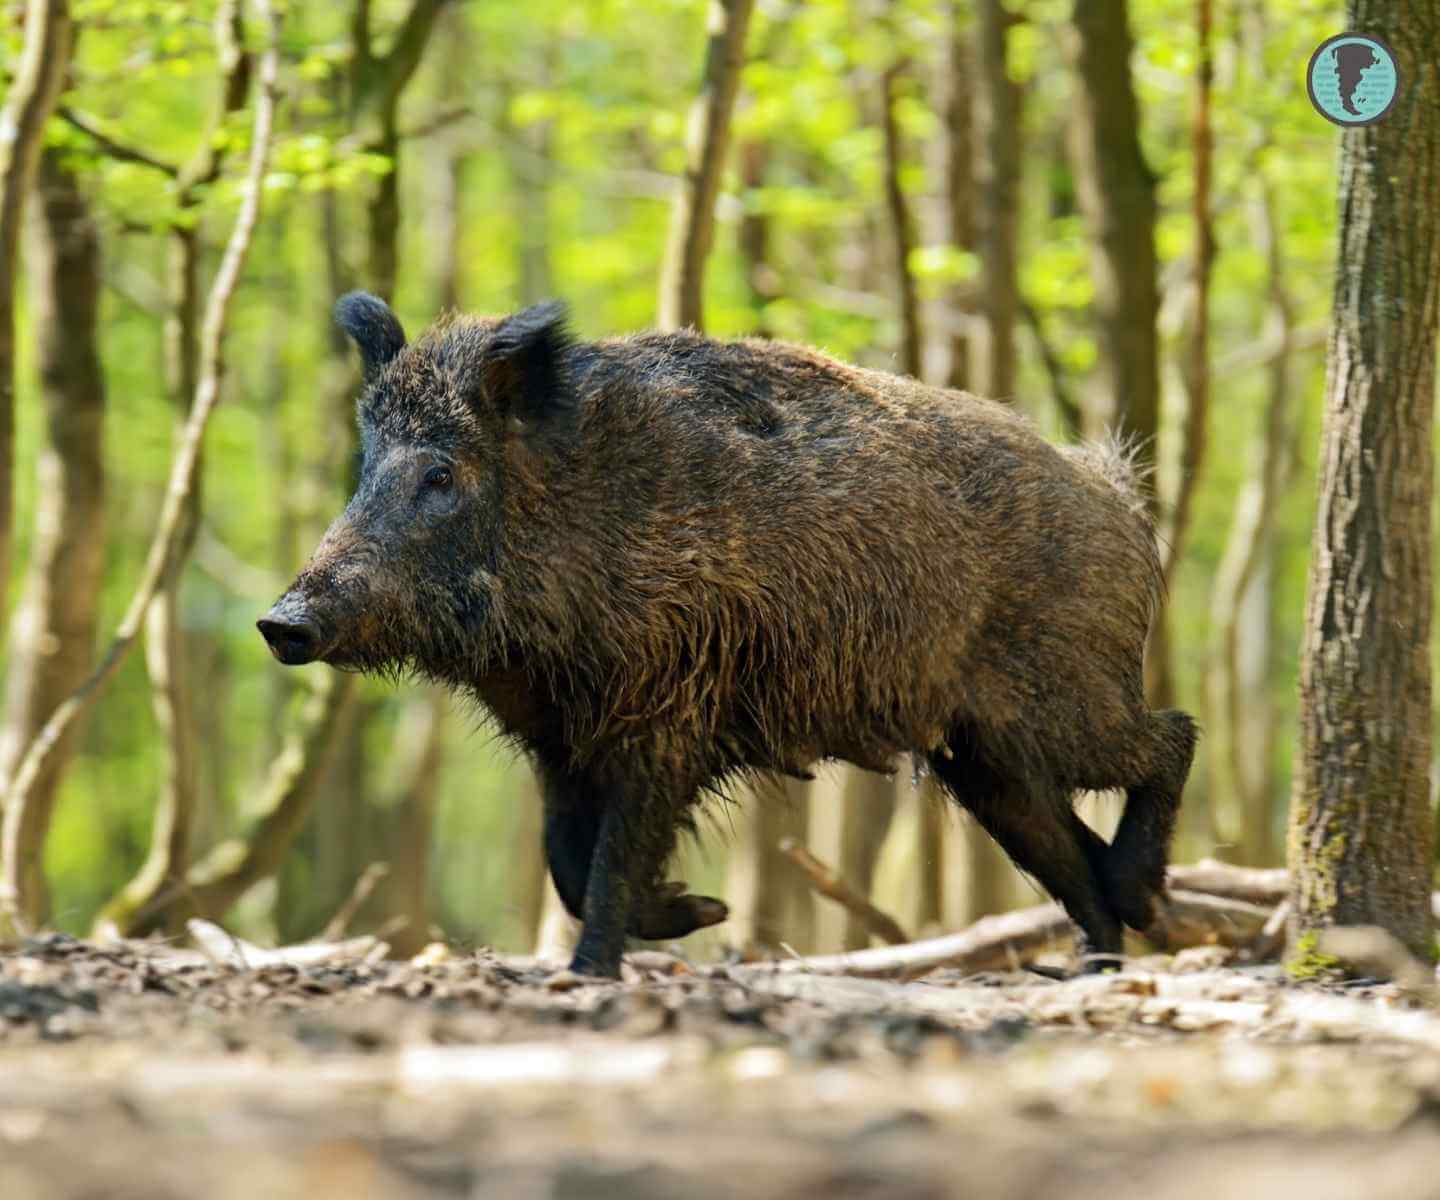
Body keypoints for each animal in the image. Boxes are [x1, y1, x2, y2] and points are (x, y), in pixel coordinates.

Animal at [258, 292, 1197, 978]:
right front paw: (695, 914)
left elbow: (610, 859)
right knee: (1065, 848)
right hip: (984, 756)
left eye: (441, 473)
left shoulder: (669, 716)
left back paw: (1139, 905)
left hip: (1062, 701)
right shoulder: (560, 740)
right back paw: (1099, 957)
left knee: (1170, 737)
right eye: (365, 466)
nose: (279, 622)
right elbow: (565, 859)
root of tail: (1119, 493)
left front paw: (599, 971)